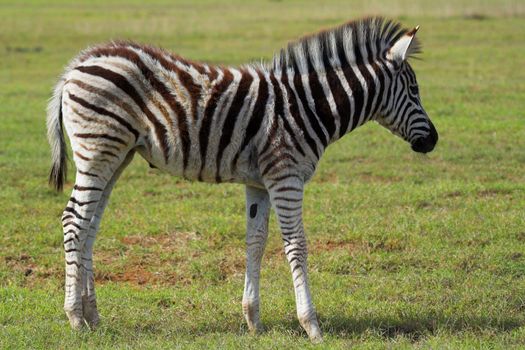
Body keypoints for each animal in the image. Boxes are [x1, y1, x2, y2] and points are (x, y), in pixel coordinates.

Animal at [46, 17, 438, 342]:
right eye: (415, 91)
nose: (433, 140)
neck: (309, 107)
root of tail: (76, 65)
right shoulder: (286, 177)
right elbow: (296, 244)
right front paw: (311, 325)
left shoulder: (259, 183)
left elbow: (256, 242)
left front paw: (253, 320)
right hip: (98, 150)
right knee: (74, 221)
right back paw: (75, 318)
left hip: (116, 156)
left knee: (90, 225)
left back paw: (93, 316)